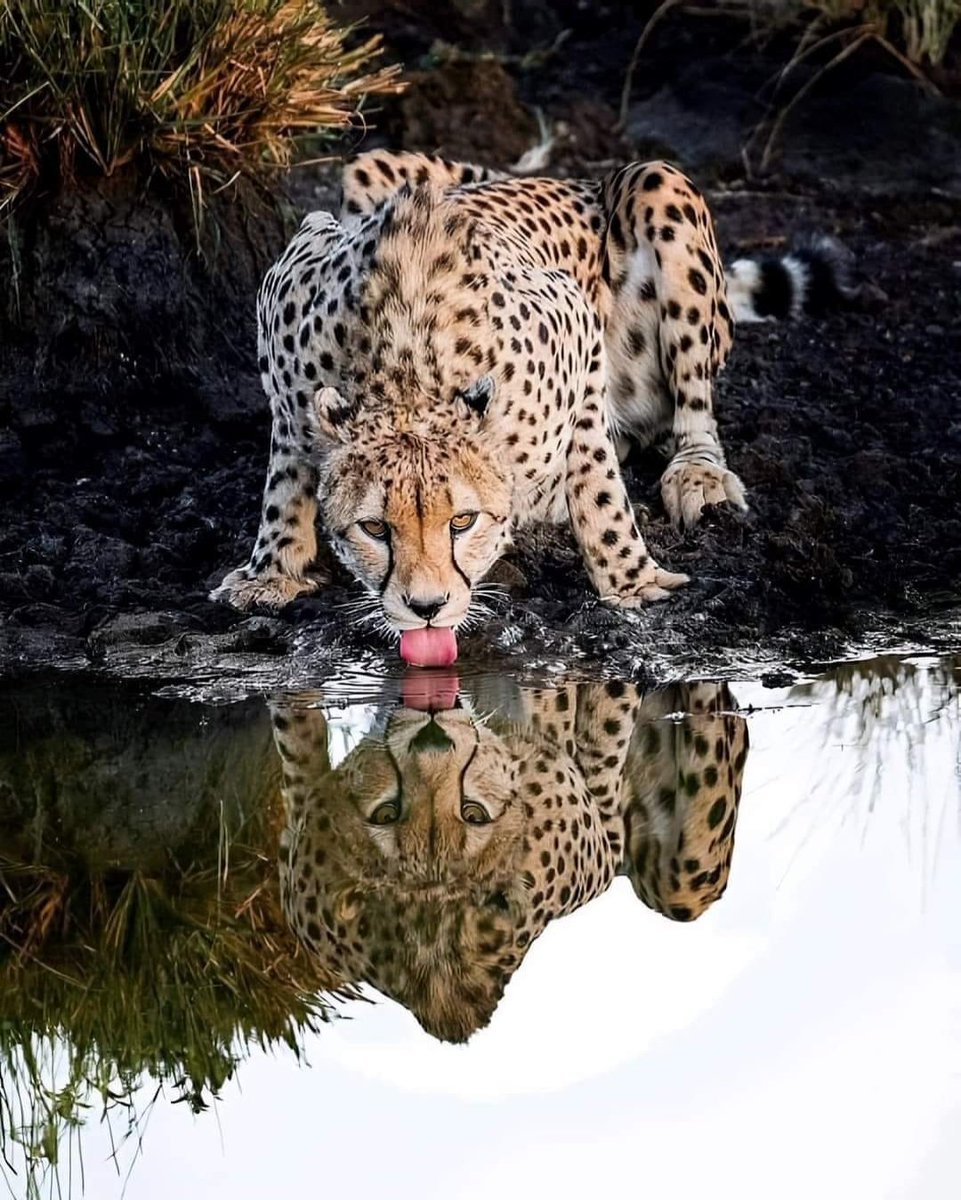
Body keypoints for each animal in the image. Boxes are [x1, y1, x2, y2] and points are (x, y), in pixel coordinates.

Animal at [212, 150, 837, 642]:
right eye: (375, 529)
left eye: (462, 522)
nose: (427, 608)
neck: (405, 369)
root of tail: (568, 179)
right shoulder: (288, 306)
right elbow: (285, 473)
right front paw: (273, 569)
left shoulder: (577, 325)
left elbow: (599, 485)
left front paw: (632, 579)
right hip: (366, 166)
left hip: (658, 183)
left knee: (692, 408)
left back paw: (696, 474)